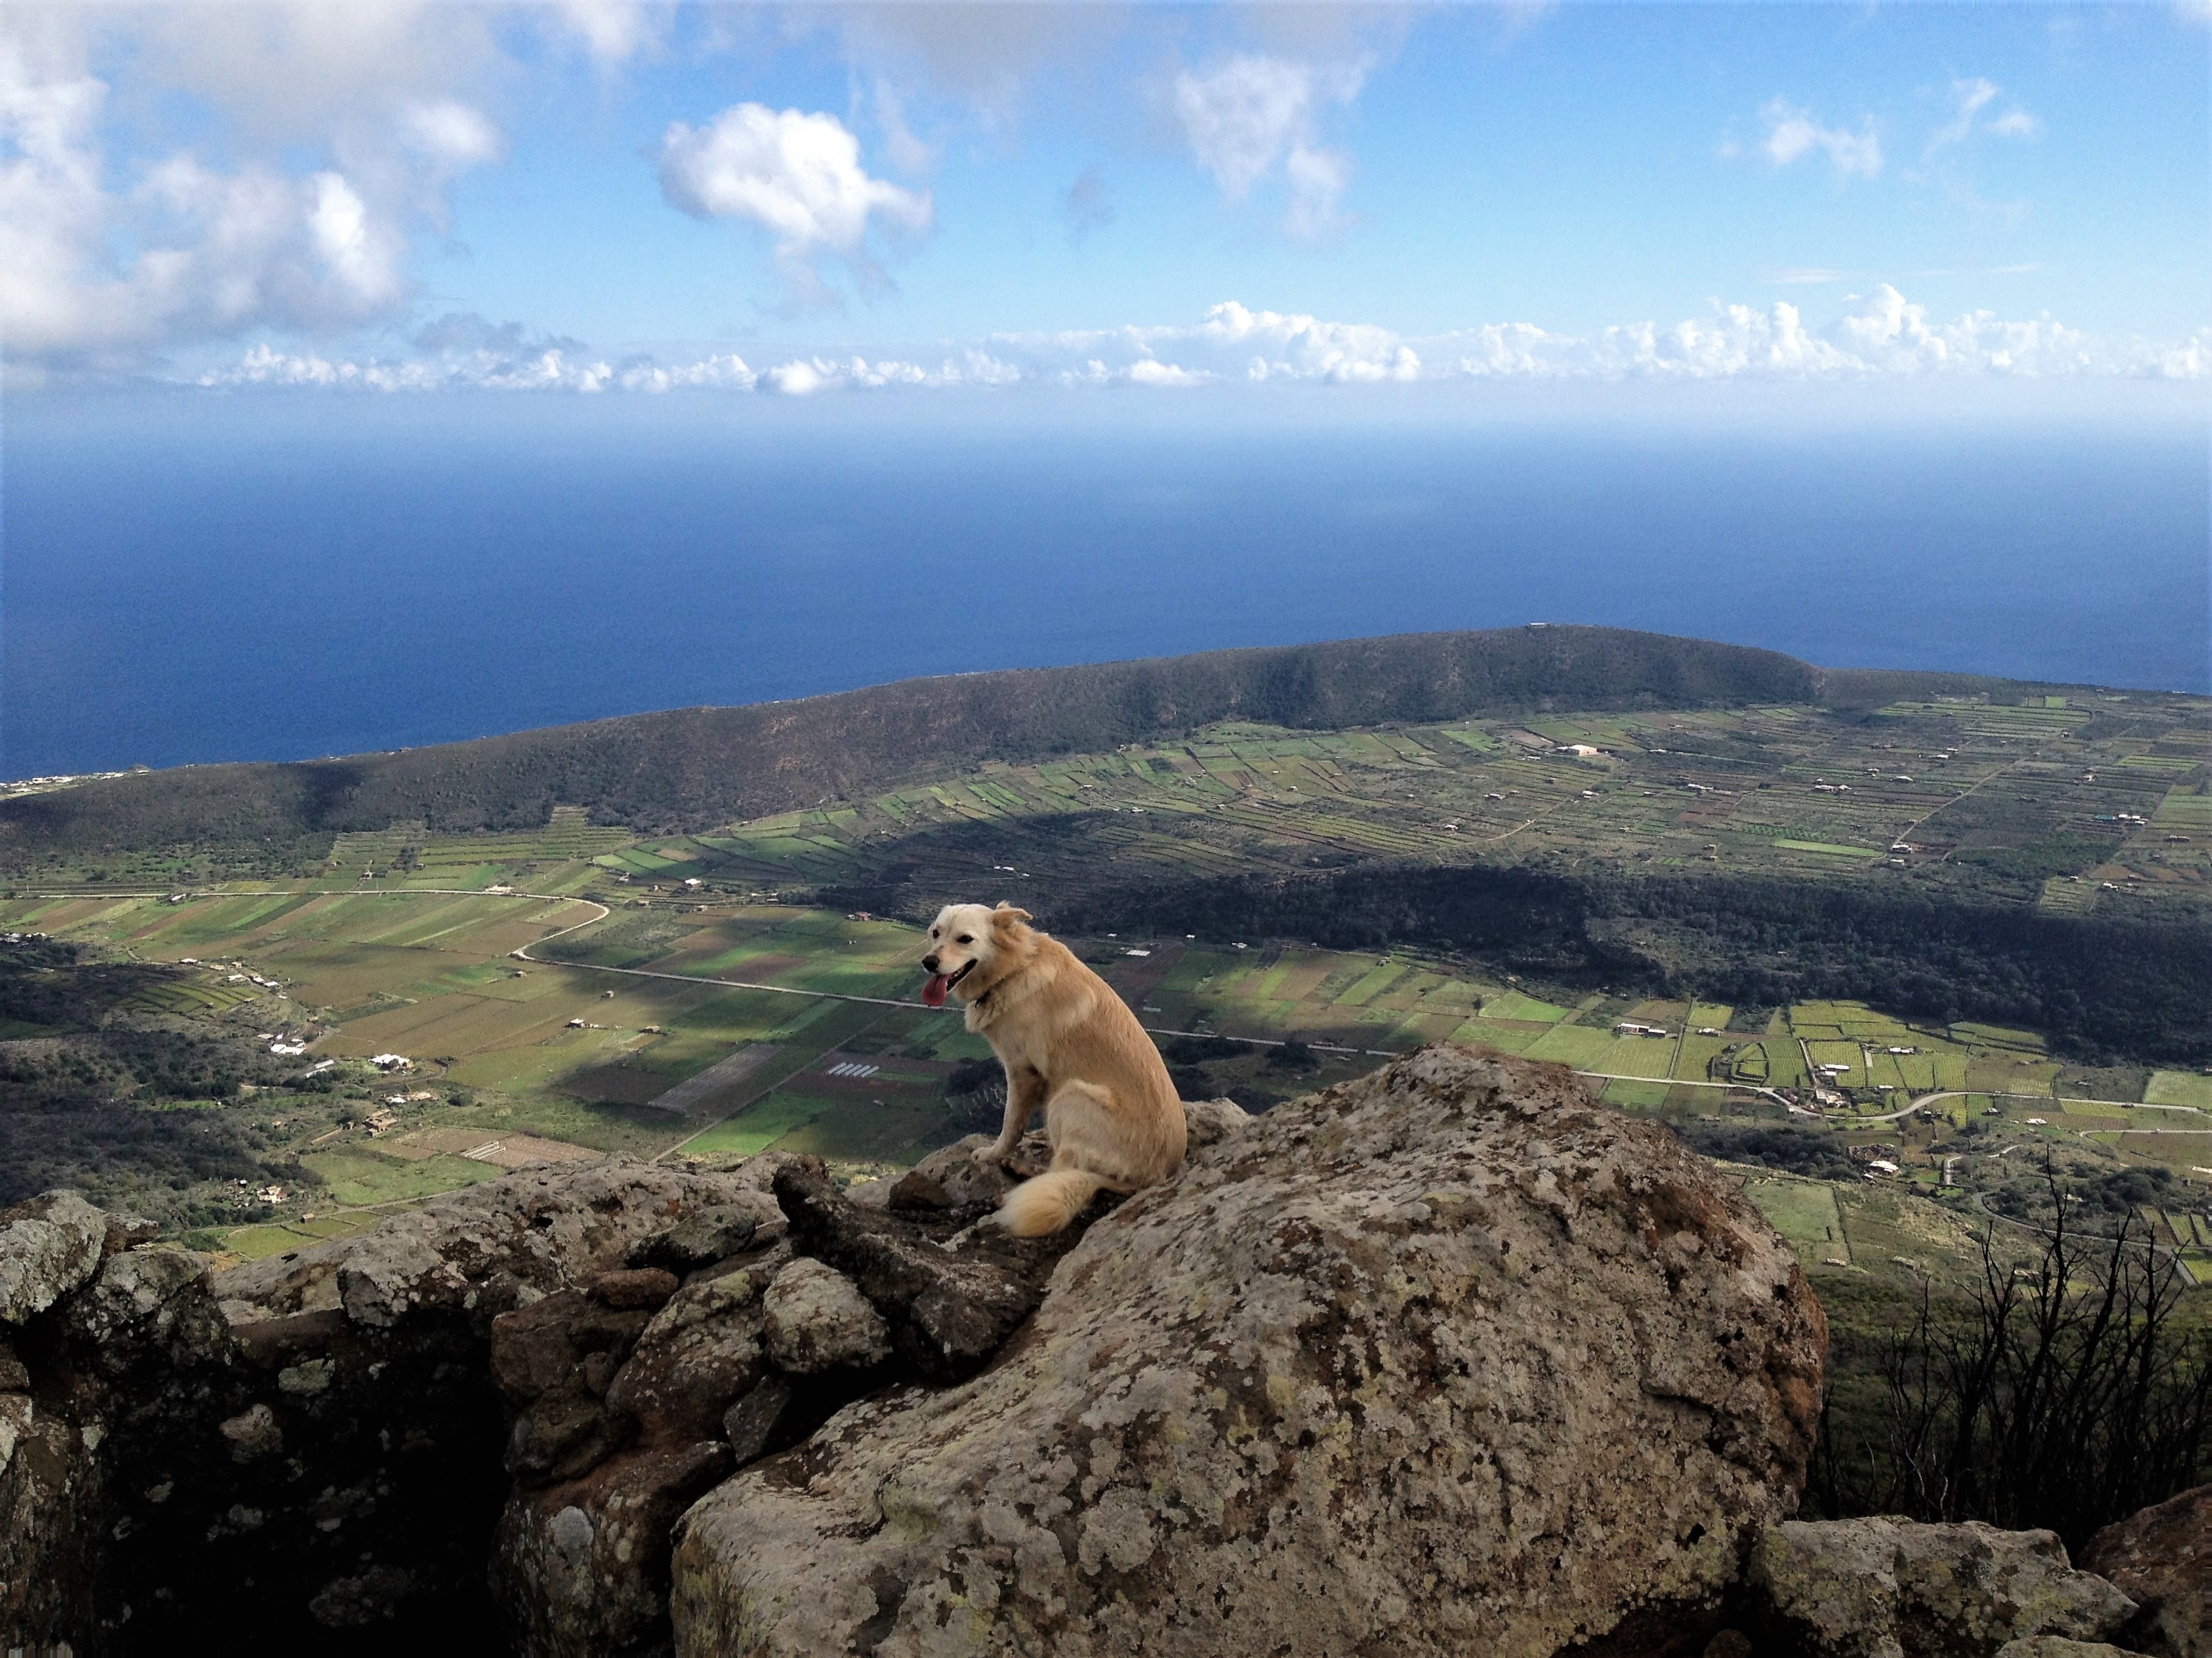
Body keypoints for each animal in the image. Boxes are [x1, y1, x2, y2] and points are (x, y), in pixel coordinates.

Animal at [920, 902, 1185, 1238]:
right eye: (936, 933)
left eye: (965, 939)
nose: (929, 962)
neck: (1014, 969)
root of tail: (1153, 1177)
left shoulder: (1021, 1071)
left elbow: (1011, 1124)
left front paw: (994, 1154)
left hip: (1071, 1096)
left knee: (1062, 1170)